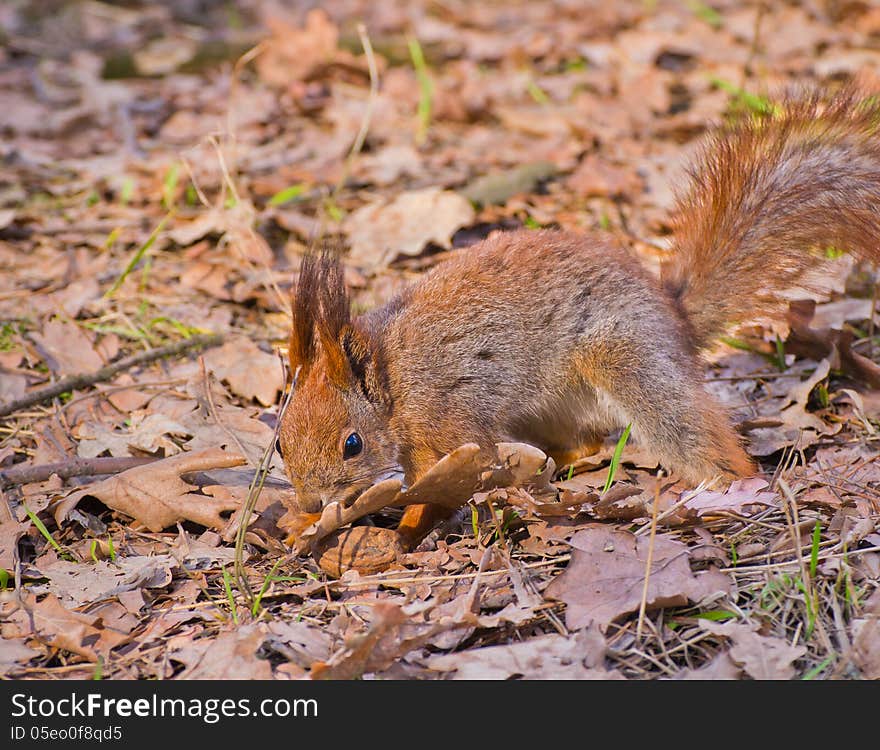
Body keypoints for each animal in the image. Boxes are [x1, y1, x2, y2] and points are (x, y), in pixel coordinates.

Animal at [278, 91, 880, 548]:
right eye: (280, 443)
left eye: (352, 444)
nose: (310, 497)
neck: (393, 380)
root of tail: (675, 318)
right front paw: (301, 521)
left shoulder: (448, 424)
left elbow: (446, 484)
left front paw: (404, 529)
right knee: (586, 443)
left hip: (625, 357)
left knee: (697, 437)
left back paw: (729, 487)